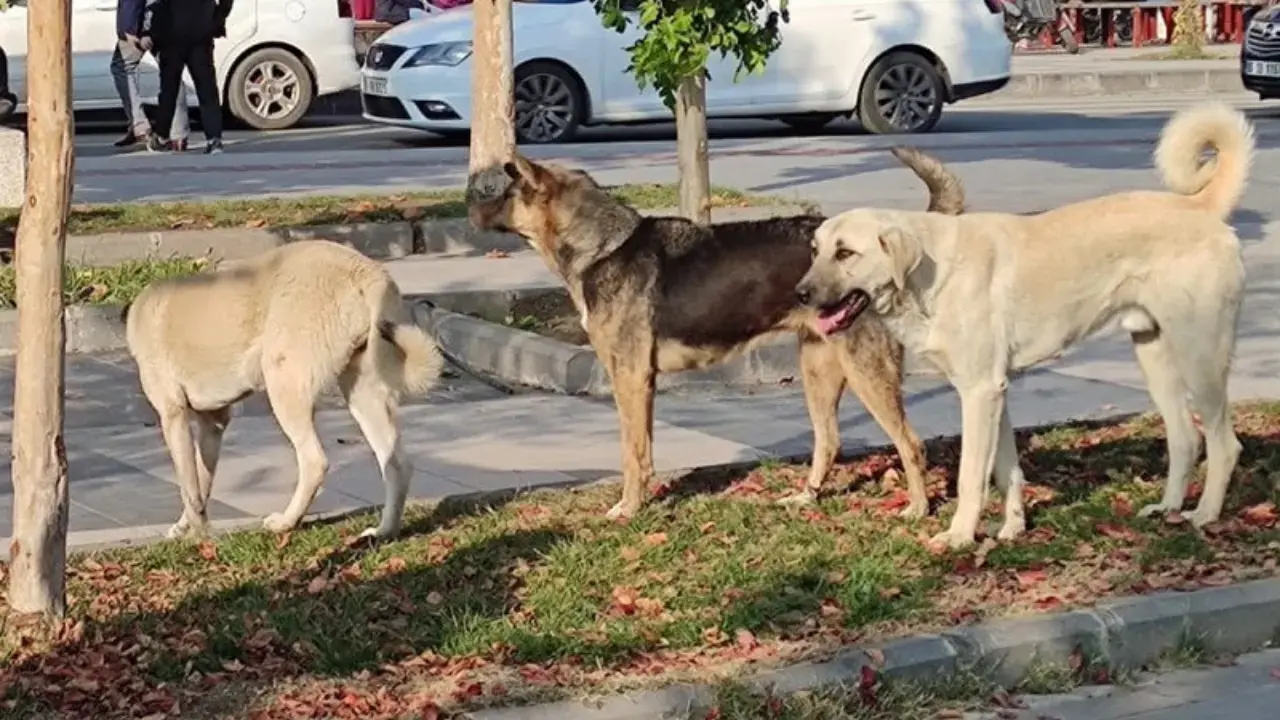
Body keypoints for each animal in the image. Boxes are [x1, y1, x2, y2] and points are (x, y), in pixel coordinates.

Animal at [124, 239, 445, 538]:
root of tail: (366, 272)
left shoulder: (173, 415)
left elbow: (189, 486)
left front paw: (198, 535)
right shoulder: (212, 424)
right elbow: (200, 484)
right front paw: (189, 527)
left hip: (284, 384)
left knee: (314, 461)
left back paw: (286, 523)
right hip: (364, 390)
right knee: (396, 464)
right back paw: (383, 532)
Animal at [468, 147, 962, 515]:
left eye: (506, 192)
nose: (470, 207)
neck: (605, 246)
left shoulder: (629, 378)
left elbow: (631, 453)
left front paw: (629, 509)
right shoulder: (641, 382)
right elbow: (643, 449)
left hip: (865, 371)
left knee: (909, 443)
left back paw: (918, 509)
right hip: (818, 367)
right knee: (830, 440)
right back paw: (806, 497)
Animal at [793, 102, 1254, 548]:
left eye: (846, 253)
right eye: (815, 250)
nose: (799, 294)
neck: (929, 272)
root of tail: (1200, 206)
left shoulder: (979, 391)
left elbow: (971, 475)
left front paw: (960, 536)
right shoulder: (995, 392)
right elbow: (1005, 470)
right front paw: (1013, 528)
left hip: (1199, 357)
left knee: (1224, 444)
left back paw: (1205, 515)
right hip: (1154, 356)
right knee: (1186, 438)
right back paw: (1168, 508)